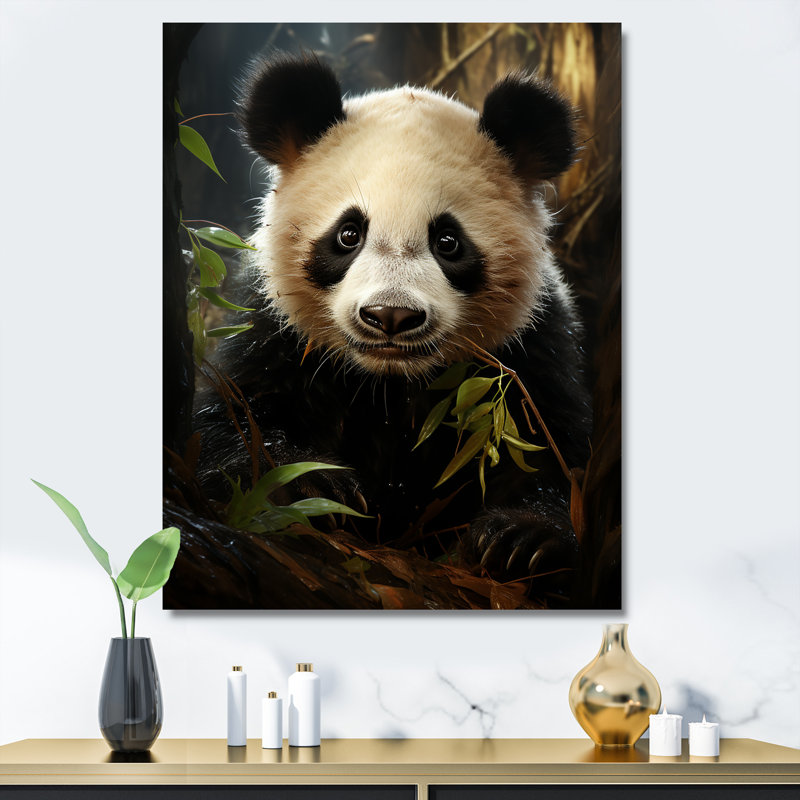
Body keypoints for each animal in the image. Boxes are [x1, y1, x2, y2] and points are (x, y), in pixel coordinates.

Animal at [193, 54, 592, 594]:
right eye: (348, 234)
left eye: (448, 241)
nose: (390, 316)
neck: (389, 381)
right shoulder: (274, 331)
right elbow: (232, 420)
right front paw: (310, 484)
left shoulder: (529, 347)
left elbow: (549, 449)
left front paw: (522, 540)